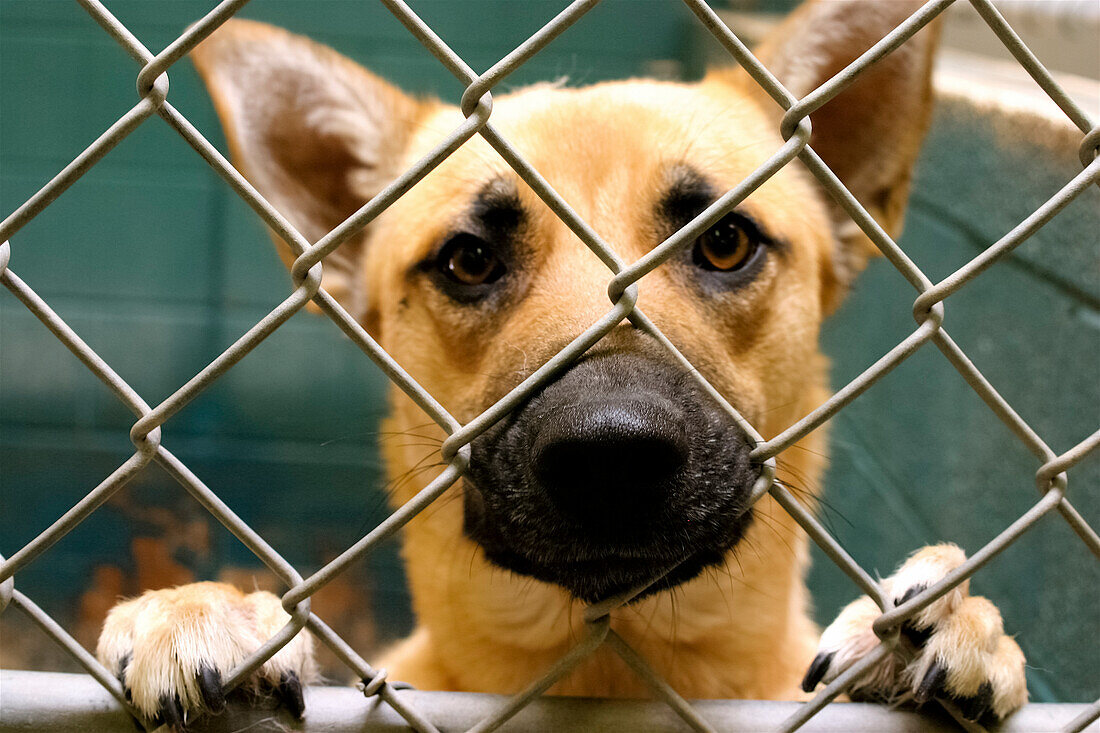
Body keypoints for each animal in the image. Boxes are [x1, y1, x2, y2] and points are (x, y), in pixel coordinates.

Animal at [96, 1, 1029, 726]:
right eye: (468, 258)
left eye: (725, 241)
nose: (609, 453)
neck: (608, 674)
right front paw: (205, 609)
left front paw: (942, 622)